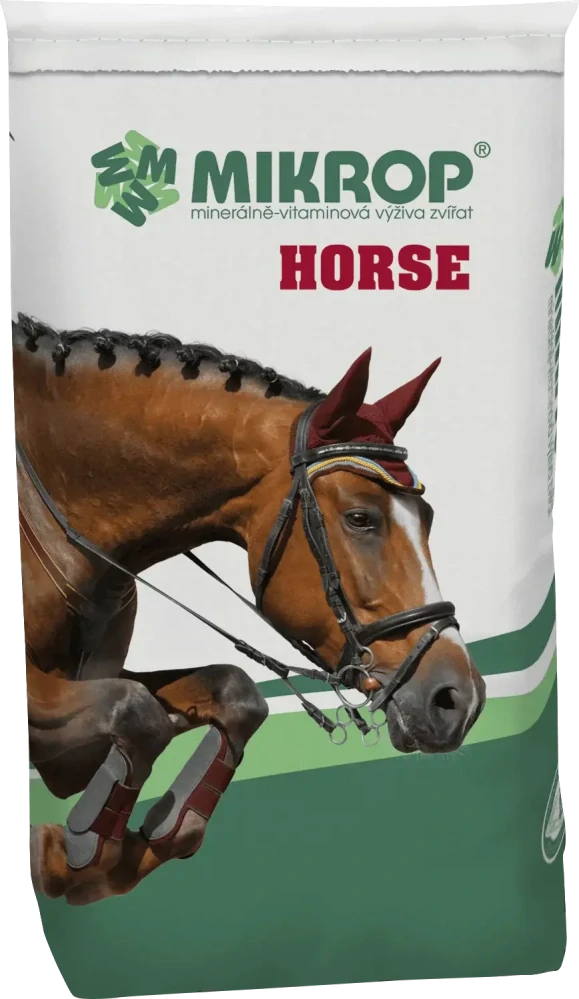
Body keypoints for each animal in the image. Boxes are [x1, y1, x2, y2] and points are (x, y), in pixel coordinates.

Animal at [15, 314, 486, 906]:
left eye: (427, 516)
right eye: (360, 518)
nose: (458, 701)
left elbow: (234, 695)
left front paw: (147, 838)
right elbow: (136, 712)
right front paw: (68, 854)